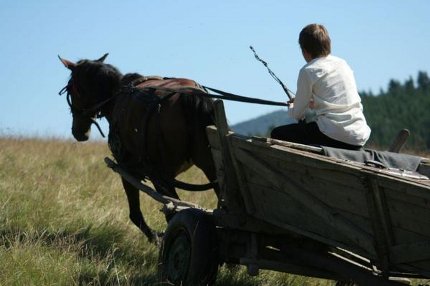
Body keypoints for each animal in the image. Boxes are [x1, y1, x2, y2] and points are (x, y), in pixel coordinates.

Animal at [58, 54, 217, 244]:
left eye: (71, 89)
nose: (79, 132)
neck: (115, 96)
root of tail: (190, 98)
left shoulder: (127, 170)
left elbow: (135, 214)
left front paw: (156, 238)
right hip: (210, 166)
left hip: (160, 176)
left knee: (173, 214)